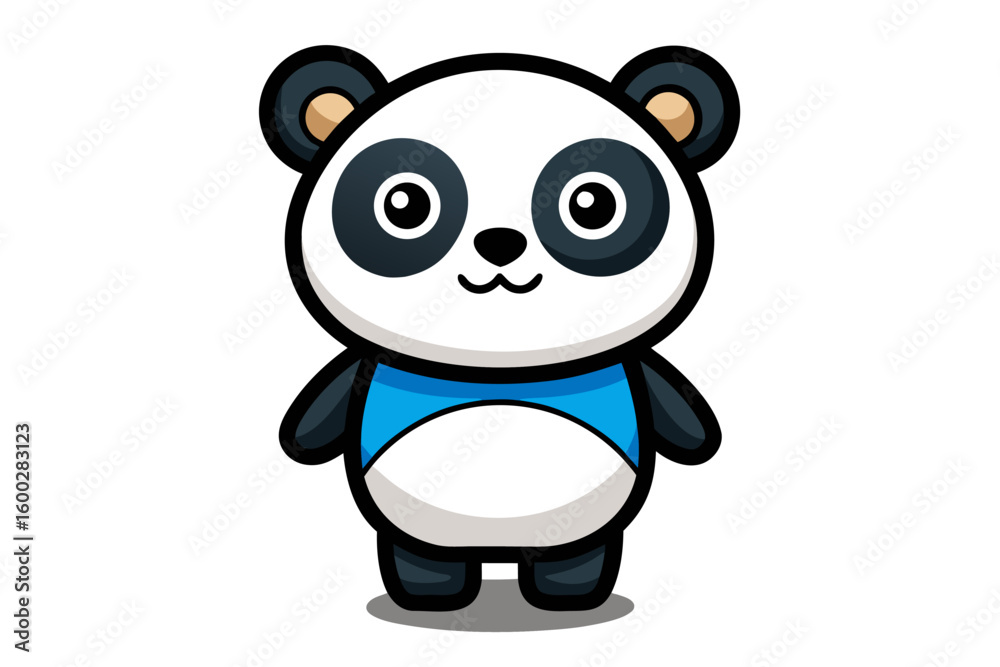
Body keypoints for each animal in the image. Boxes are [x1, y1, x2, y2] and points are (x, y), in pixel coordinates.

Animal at [260, 45, 739, 612]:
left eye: (593, 204)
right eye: (405, 204)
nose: (500, 242)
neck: (499, 367)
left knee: (576, 554)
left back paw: (567, 594)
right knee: (422, 554)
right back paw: (432, 594)